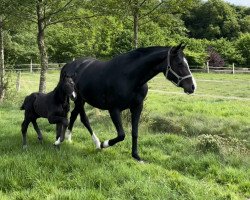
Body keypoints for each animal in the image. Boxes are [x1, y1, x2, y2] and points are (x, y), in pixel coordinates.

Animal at [60, 43, 195, 161]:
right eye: (179, 63)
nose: (192, 87)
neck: (129, 77)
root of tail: (68, 65)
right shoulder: (114, 109)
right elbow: (121, 135)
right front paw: (105, 144)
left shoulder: (137, 107)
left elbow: (135, 132)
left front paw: (136, 156)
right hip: (79, 99)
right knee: (83, 118)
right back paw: (96, 143)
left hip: (81, 99)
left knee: (75, 115)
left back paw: (69, 138)